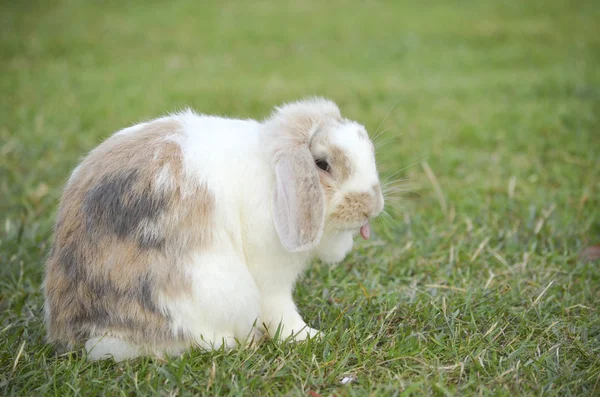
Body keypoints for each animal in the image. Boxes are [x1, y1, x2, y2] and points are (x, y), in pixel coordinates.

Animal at [45, 97, 384, 360]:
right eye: (322, 164)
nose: (373, 205)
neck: (272, 177)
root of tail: (81, 329)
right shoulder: (270, 280)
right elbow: (281, 310)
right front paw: (309, 336)